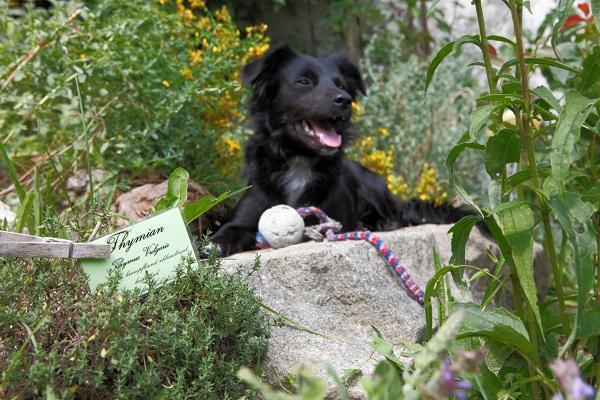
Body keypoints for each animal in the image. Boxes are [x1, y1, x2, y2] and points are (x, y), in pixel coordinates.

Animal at [213, 44, 472, 256]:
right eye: (304, 81)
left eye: (341, 85)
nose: (345, 99)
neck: (300, 161)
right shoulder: (245, 215)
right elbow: (227, 231)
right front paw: (211, 246)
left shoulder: (337, 220)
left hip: (372, 185)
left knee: (396, 214)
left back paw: (384, 223)